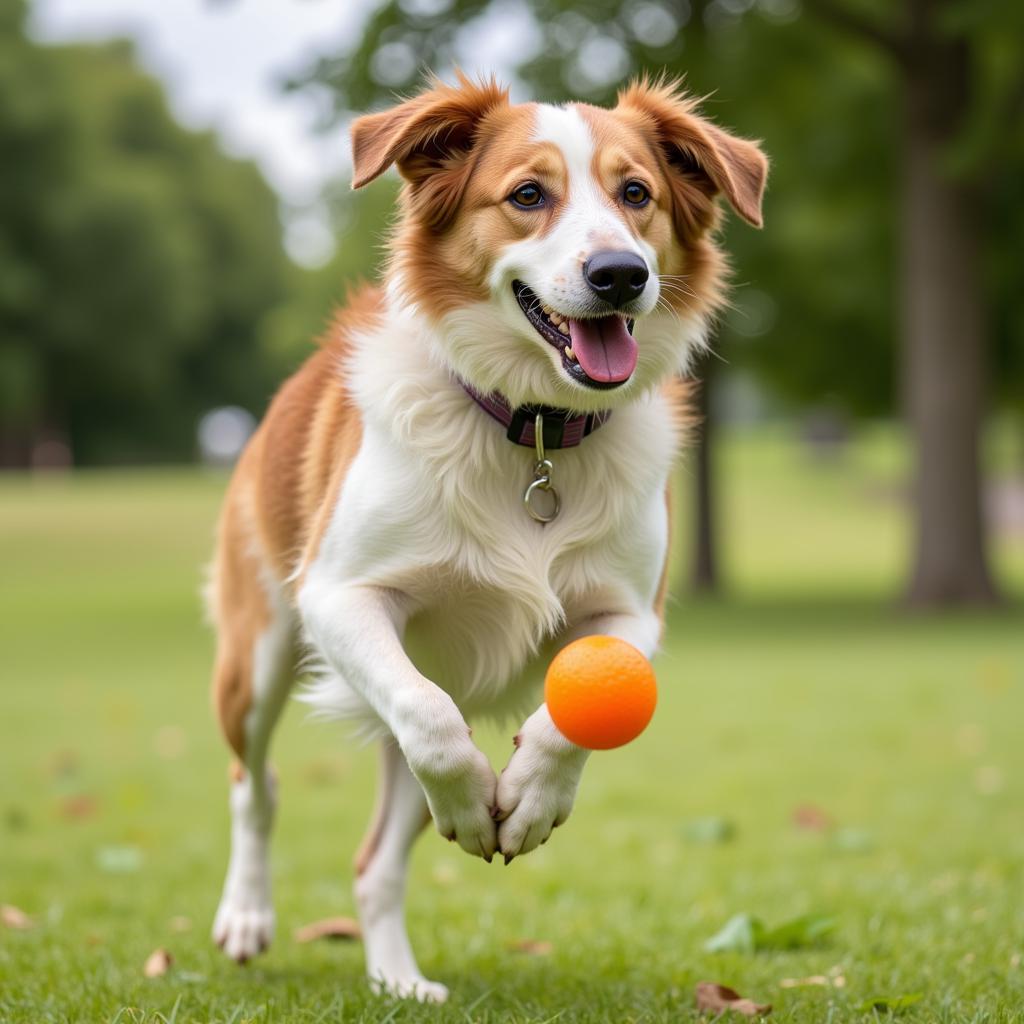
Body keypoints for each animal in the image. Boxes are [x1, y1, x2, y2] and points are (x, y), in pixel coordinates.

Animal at [207, 72, 765, 999]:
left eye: (636, 194)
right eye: (528, 196)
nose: (621, 274)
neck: (532, 431)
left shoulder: (631, 612)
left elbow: (569, 719)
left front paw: (530, 798)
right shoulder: (340, 595)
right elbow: (429, 721)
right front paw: (480, 803)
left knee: (374, 862)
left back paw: (398, 980)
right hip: (259, 655)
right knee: (259, 783)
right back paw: (248, 914)